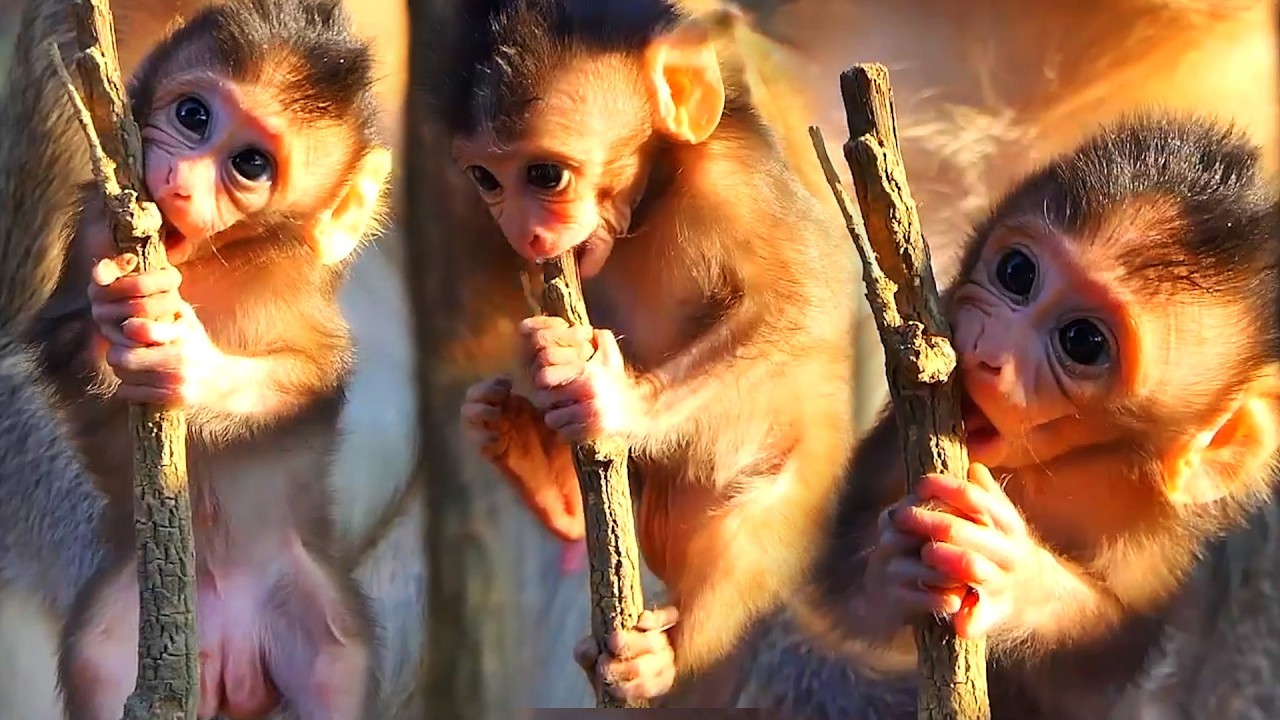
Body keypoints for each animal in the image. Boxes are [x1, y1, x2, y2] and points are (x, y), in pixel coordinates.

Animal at [0, 0, 395, 717]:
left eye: (250, 164)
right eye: (193, 116)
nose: (180, 184)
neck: (211, 261)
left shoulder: (298, 293)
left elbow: (309, 382)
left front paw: (195, 364)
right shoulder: (96, 228)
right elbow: (58, 342)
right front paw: (113, 317)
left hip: (311, 616)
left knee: (335, 675)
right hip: (119, 629)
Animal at [439, 0, 859, 705]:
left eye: (544, 175)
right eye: (485, 178)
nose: (523, 231)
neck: (655, 197)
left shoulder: (731, 181)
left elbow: (809, 298)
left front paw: (616, 401)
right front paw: (544, 359)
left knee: (745, 533)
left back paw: (659, 660)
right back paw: (539, 469)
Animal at [773, 115, 1280, 719]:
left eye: (1083, 341)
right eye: (1016, 272)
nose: (990, 348)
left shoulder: (1160, 544)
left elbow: (1107, 675)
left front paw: (1022, 578)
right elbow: (828, 598)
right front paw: (890, 569)